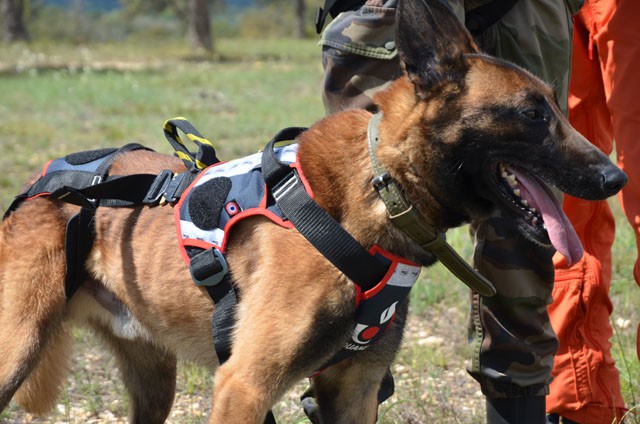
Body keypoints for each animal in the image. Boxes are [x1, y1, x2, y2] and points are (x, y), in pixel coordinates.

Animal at [0, 0, 628, 424]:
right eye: (533, 114)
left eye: (557, 106)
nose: (615, 178)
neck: (376, 192)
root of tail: (42, 181)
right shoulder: (244, 385)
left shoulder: (353, 388)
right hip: (15, 351)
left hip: (154, 378)